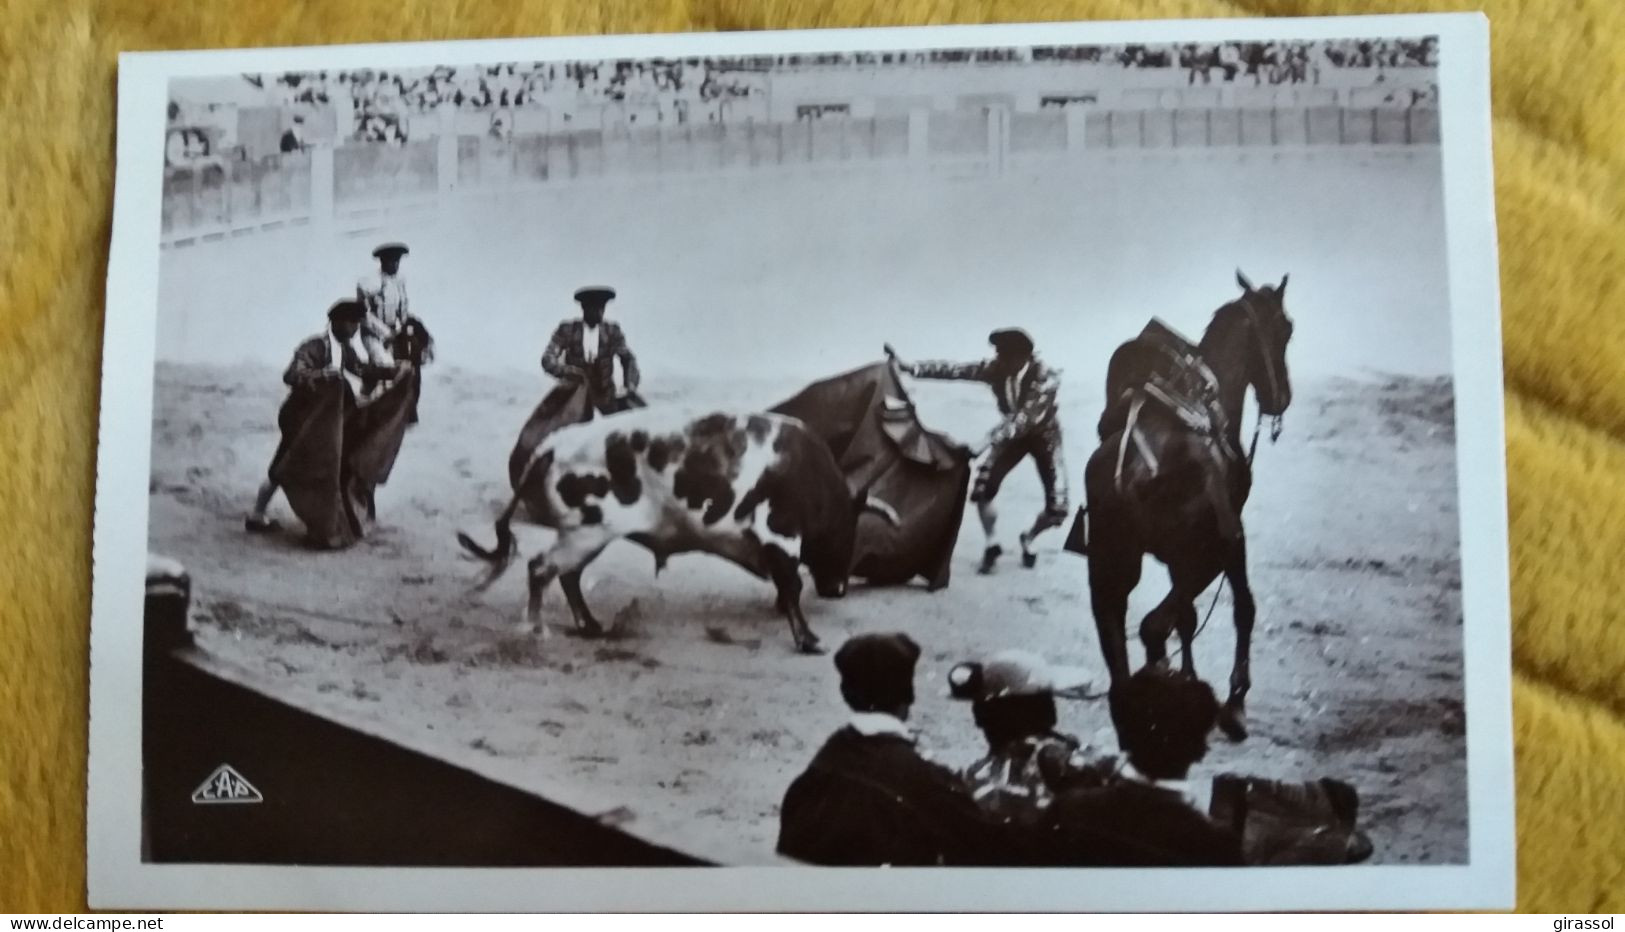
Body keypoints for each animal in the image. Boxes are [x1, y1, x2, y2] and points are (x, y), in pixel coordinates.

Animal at [458, 409, 864, 655]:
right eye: (847, 533)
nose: (838, 589)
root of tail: (551, 446)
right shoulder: (779, 535)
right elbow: (792, 585)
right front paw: (809, 640)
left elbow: (787, 587)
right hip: (586, 533)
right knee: (542, 568)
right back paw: (536, 629)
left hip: (584, 536)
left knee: (565, 575)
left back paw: (589, 626)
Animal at [1079, 272, 1293, 746]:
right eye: (1286, 329)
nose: (1282, 398)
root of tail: (1132, 470)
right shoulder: (1230, 542)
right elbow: (1242, 608)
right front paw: (1234, 705)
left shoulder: (1178, 559)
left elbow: (1188, 620)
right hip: (1205, 555)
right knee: (1153, 627)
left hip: (1111, 568)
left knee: (1121, 643)